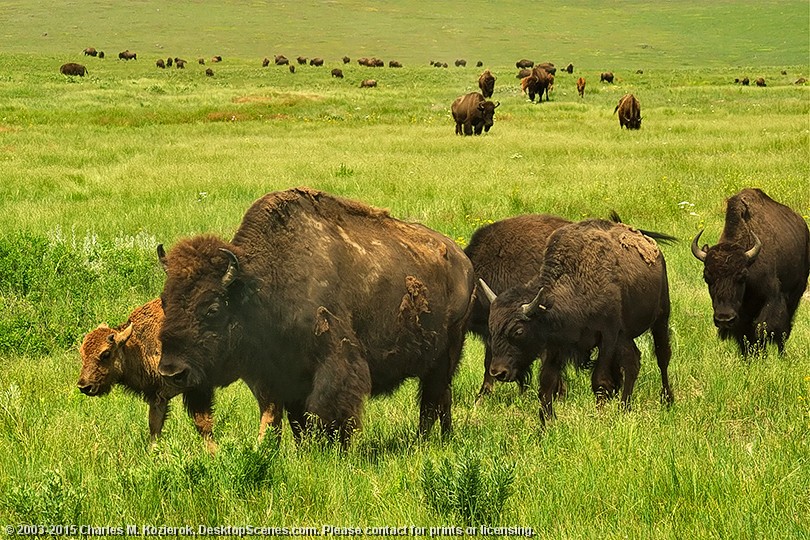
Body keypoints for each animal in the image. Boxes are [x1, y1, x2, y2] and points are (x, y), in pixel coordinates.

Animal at [75, 298, 213, 450]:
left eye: (106, 353)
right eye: (82, 354)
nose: (84, 386)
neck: (139, 346)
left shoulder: (198, 388)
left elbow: (203, 424)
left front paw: (213, 451)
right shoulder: (157, 396)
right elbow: (154, 427)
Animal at [688, 188, 808, 356]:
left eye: (742, 276)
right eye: (707, 277)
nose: (724, 319)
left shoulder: (772, 299)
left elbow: (762, 328)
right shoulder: (741, 315)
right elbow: (745, 335)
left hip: (795, 294)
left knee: (785, 329)